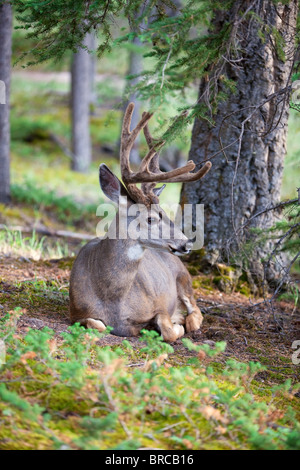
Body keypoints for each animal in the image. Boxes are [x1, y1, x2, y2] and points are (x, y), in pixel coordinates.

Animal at [69, 103, 212, 342]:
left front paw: (176, 326)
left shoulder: (159, 305)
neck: (112, 297)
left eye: (165, 212)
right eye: (151, 218)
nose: (187, 243)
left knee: (196, 312)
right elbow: (95, 324)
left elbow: (168, 330)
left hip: (184, 280)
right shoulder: (76, 312)